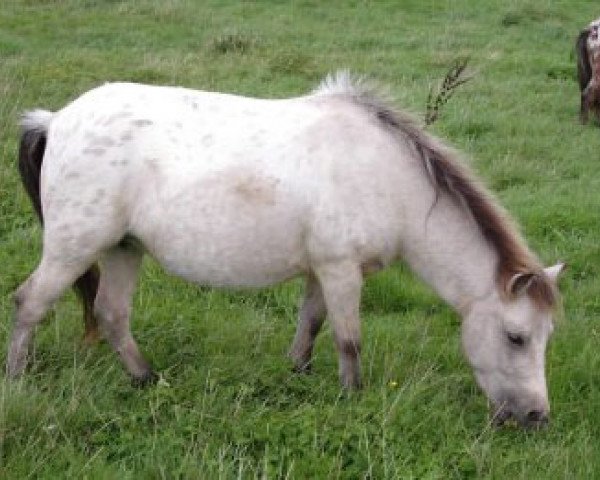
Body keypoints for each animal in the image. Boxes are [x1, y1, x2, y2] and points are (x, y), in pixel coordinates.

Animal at [8, 72, 564, 428]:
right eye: (516, 337)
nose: (536, 416)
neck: (387, 177)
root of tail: (54, 120)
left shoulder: (322, 269)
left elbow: (311, 323)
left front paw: (298, 374)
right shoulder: (342, 270)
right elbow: (348, 339)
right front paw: (353, 399)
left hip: (123, 248)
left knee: (111, 314)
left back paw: (146, 380)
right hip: (73, 247)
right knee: (29, 304)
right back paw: (18, 380)